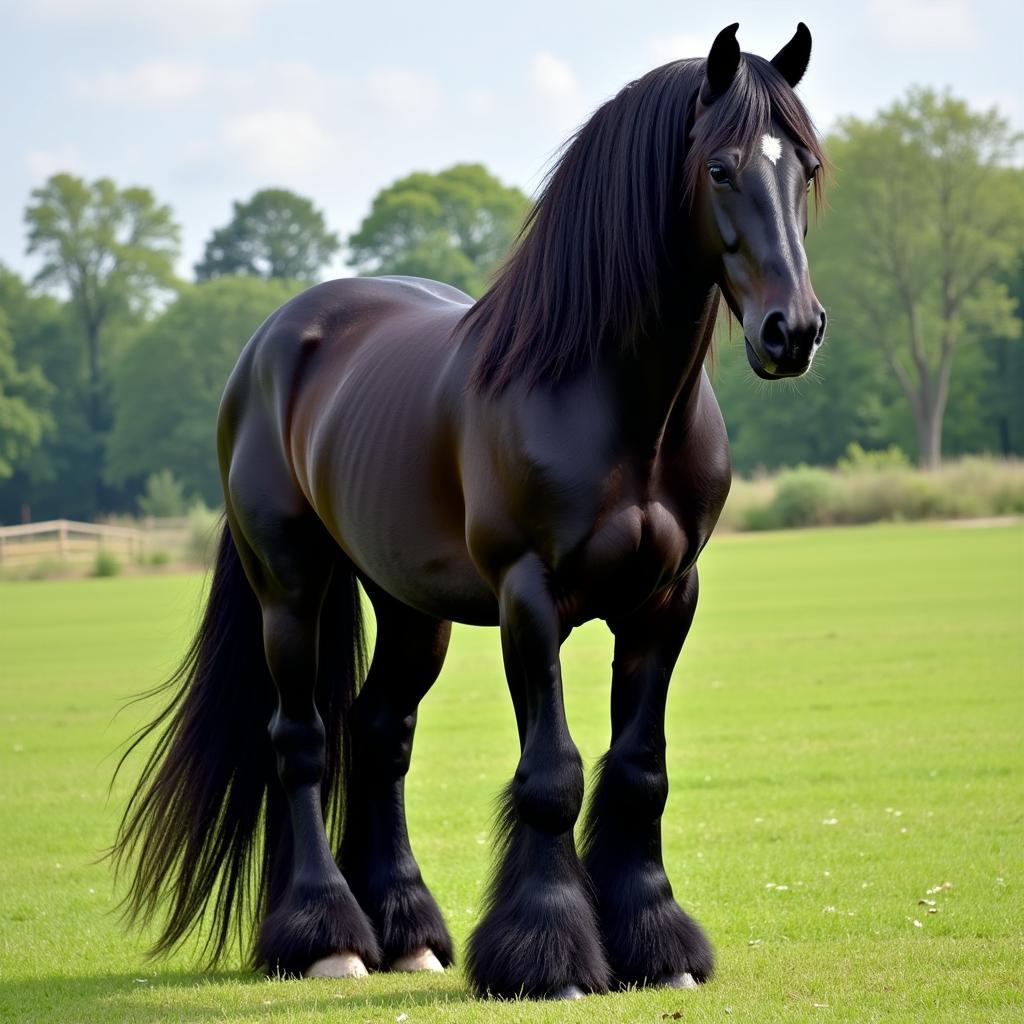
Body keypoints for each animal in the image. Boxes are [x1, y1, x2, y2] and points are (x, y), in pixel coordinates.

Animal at [114, 22, 823, 999]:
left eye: (807, 166)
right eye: (720, 168)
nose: (794, 330)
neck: (608, 399)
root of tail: (277, 339)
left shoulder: (666, 600)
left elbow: (639, 771)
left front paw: (657, 944)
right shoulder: (530, 597)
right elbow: (552, 775)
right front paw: (549, 954)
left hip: (414, 610)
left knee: (380, 734)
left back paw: (407, 928)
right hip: (290, 590)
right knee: (301, 741)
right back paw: (329, 935)